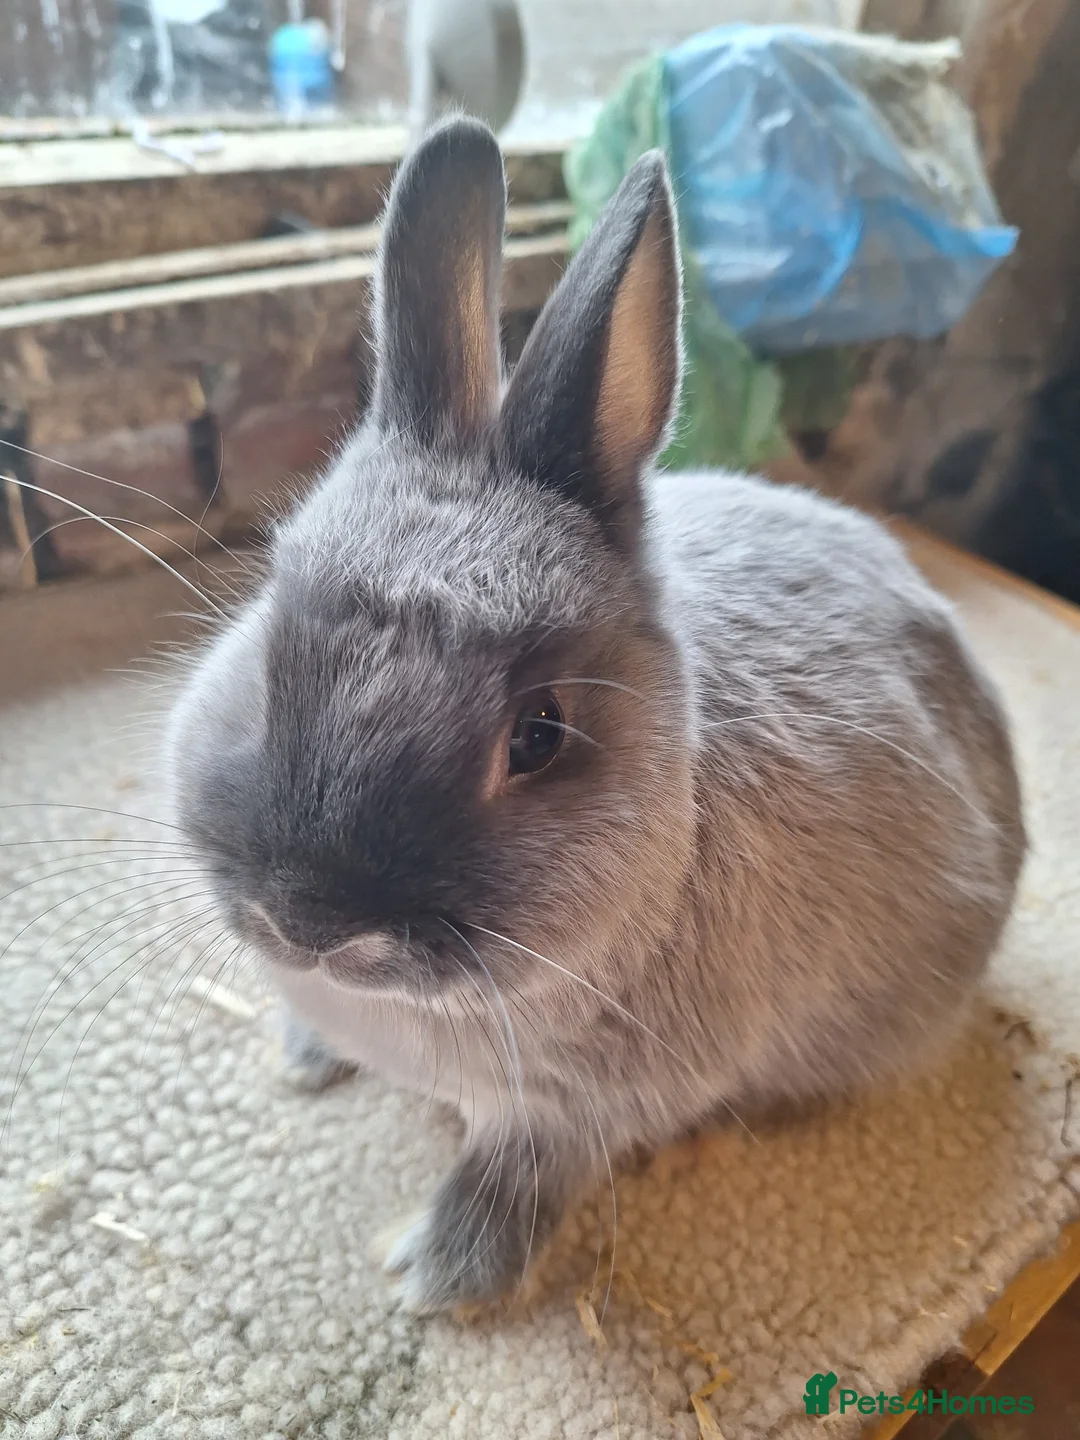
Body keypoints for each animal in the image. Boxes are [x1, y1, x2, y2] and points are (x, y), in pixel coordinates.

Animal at [163, 117, 1025, 1314]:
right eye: (269, 641)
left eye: (540, 736)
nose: (309, 918)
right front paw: (304, 1054)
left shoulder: (582, 1110)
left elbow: (522, 1174)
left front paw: (436, 1277)